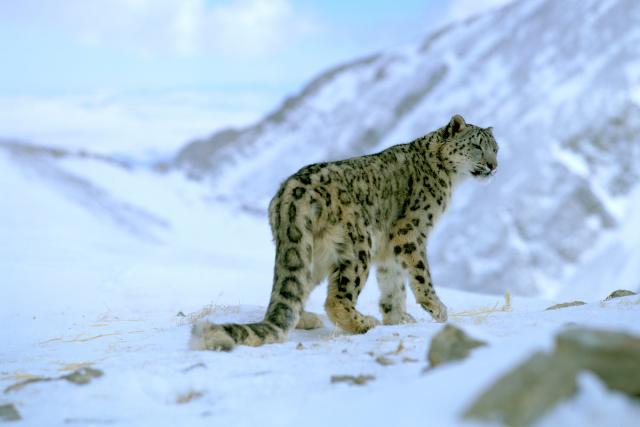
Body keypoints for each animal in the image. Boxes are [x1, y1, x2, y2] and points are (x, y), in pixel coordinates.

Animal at [190, 114, 499, 351]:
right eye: (476, 146)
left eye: (496, 148)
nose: (493, 166)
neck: (449, 179)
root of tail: (290, 194)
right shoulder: (410, 232)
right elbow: (420, 273)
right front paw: (437, 309)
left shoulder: (388, 247)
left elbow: (393, 282)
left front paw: (398, 317)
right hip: (358, 245)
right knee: (337, 298)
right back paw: (363, 322)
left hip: (311, 252)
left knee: (295, 290)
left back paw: (307, 319)